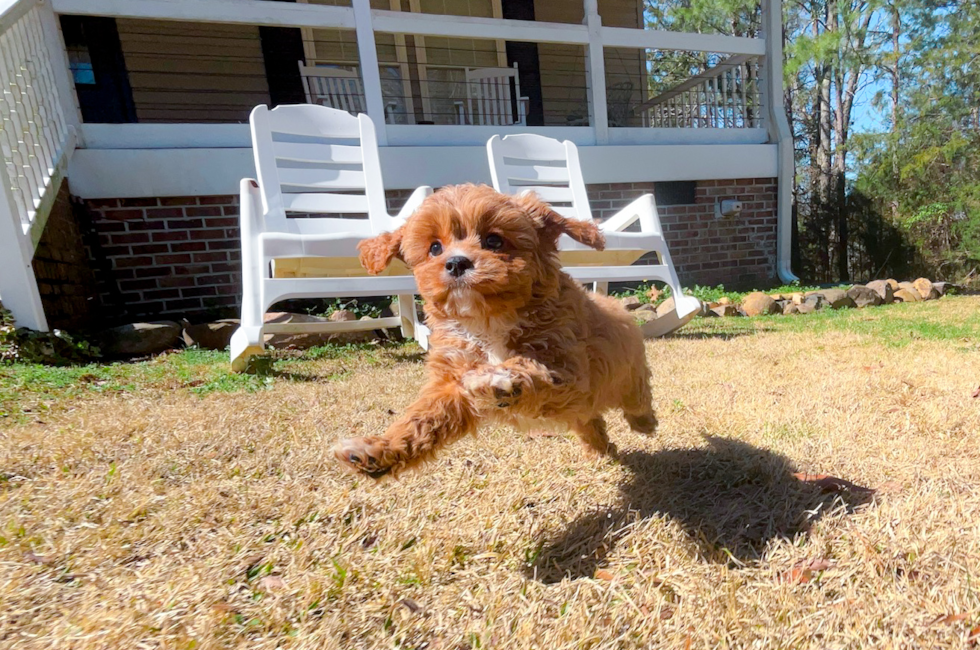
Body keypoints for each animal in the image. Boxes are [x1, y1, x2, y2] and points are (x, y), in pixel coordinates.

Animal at [334, 184, 656, 476]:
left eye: (494, 240)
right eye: (435, 247)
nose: (456, 262)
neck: (487, 319)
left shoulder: (571, 368)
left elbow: (530, 366)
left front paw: (495, 377)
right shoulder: (450, 379)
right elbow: (423, 418)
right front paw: (377, 451)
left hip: (628, 377)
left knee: (637, 400)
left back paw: (644, 423)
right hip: (584, 408)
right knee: (589, 420)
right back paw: (599, 448)